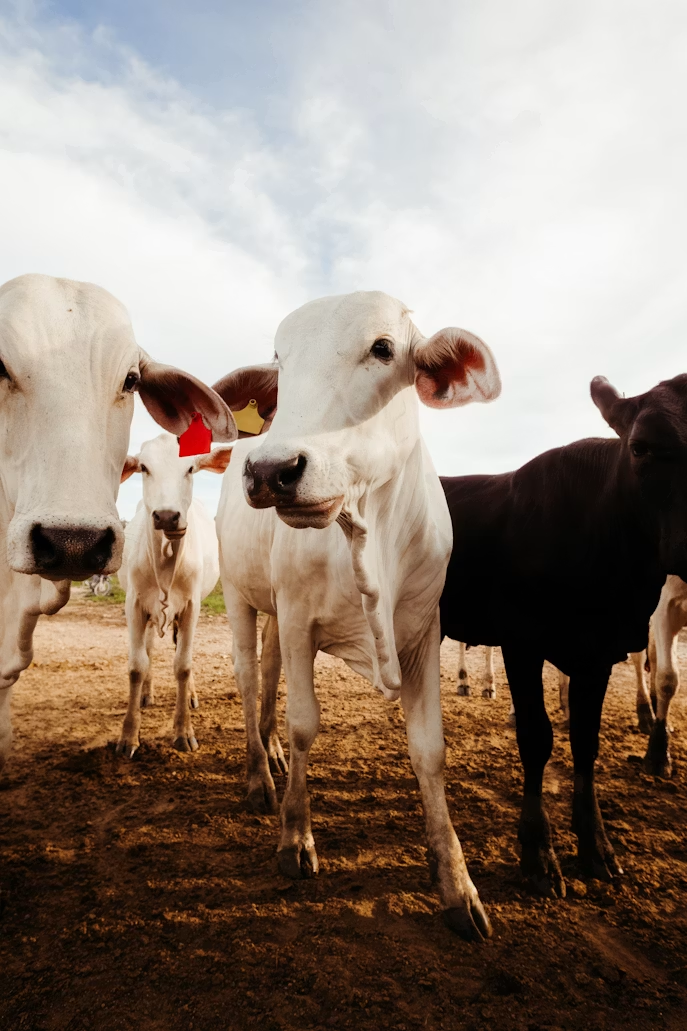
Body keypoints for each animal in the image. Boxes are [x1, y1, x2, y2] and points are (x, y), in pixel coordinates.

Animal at [116, 433, 234, 756]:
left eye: (190, 468)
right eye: (144, 467)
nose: (167, 516)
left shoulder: (192, 606)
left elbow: (183, 665)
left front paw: (183, 731)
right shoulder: (134, 605)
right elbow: (136, 665)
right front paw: (128, 735)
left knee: (181, 647)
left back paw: (190, 695)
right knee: (149, 650)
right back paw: (146, 694)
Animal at [212, 291, 501, 941]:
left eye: (383, 348)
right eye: (279, 361)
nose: (270, 470)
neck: (371, 542)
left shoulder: (423, 633)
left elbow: (429, 751)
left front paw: (457, 882)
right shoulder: (299, 621)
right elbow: (304, 724)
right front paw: (295, 837)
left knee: (268, 673)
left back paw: (268, 753)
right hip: (241, 596)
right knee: (250, 678)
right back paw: (259, 775)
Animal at [440, 373, 687, 899]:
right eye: (640, 446)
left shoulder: (600, 651)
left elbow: (585, 743)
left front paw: (596, 847)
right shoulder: (522, 643)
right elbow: (537, 738)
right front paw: (537, 854)